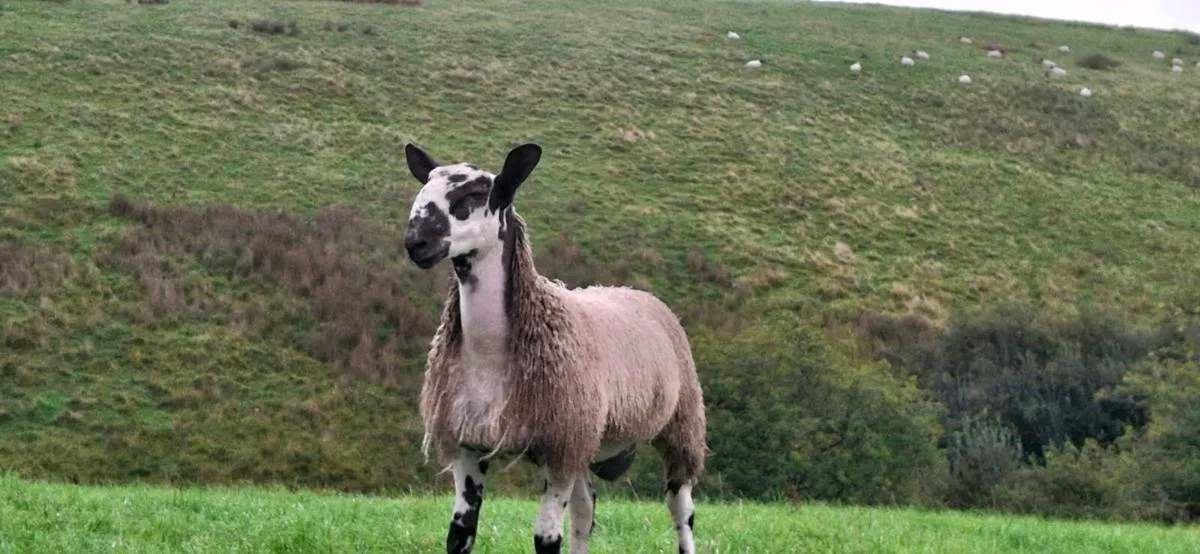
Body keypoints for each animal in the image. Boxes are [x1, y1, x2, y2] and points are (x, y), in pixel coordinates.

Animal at [401, 143, 707, 554]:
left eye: (475, 194)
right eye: (424, 187)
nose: (415, 242)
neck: (490, 354)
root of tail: (637, 293)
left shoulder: (559, 446)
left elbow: (546, 539)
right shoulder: (470, 445)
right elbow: (459, 534)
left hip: (681, 424)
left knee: (681, 510)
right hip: (586, 438)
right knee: (585, 510)